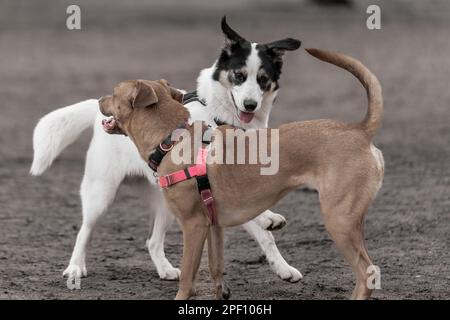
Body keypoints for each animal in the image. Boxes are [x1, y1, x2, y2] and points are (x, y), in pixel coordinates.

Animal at [97, 48, 384, 300]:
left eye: (113, 93)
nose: (98, 99)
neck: (172, 139)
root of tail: (359, 130)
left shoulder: (193, 225)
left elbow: (187, 277)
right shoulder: (213, 226)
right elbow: (215, 268)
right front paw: (220, 293)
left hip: (339, 219)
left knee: (367, 271)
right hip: (350, 221)